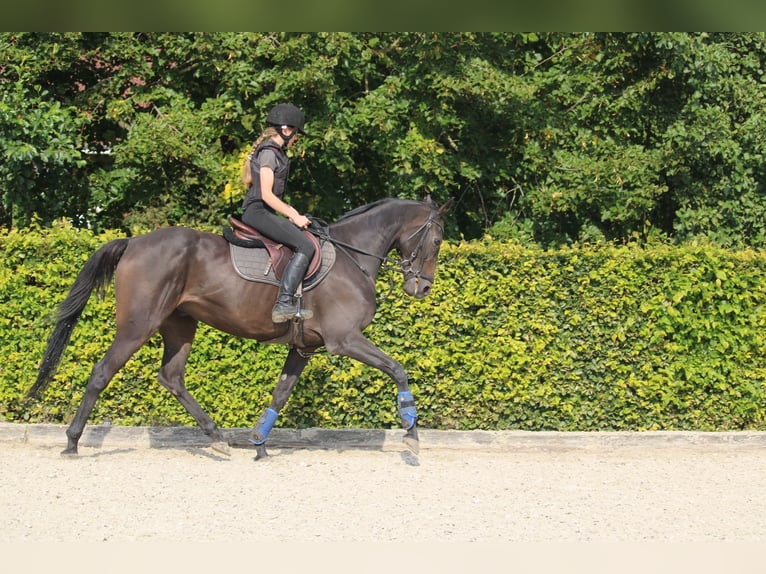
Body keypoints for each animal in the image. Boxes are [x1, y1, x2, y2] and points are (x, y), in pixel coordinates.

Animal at [28, 197, 450, 460]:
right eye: (437, 239)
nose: (423, 288)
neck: (352, 255)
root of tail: (133, 243)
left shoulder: (305, 346)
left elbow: (281, 393)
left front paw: (259, 442)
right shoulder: (344, 340)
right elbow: (398, 369)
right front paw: (411, 431)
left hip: (180, 325)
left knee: (171, 377)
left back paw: (217, 438)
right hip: (138, 325)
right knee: (102, 372)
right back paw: (72, 441)